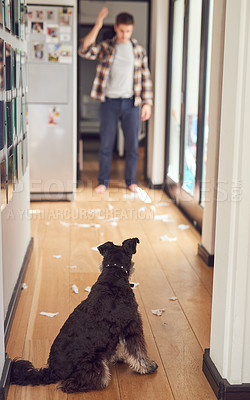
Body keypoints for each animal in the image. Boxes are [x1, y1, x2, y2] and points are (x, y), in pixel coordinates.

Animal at [10, 238, 158, 394]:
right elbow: (139, 351)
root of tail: (52, 371)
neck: (114, 273)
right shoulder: (133, 324)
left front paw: (118, 356)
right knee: (73, 383)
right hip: (93, 362)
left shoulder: (117, 331)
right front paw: (148, 367)